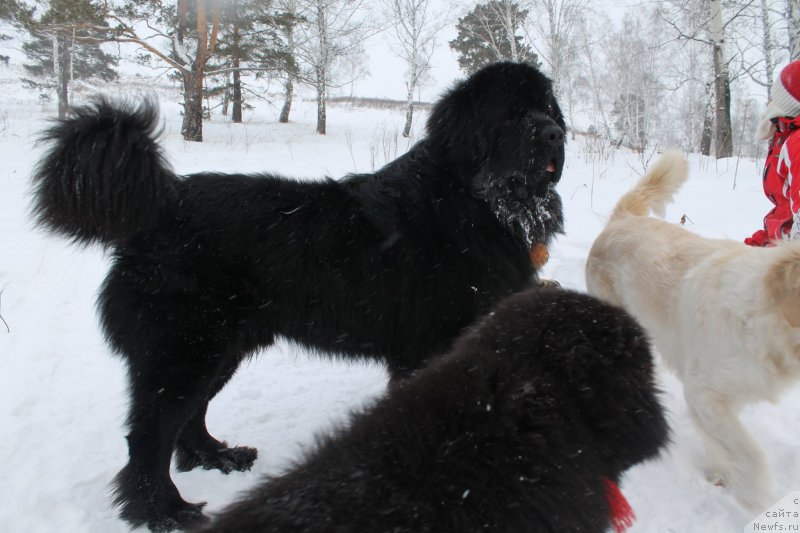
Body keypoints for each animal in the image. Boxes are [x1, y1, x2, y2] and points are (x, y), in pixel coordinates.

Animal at [31, 61, 564, 528]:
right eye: (511, 114)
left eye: (547, 110)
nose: (555, 134)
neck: (476, 199)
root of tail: (160, 207)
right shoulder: (429, 347)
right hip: (184, 349)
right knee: (149, 437)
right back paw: (164, 512)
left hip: (221, 348)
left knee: (190, 418)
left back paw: (217, 456)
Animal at [584, 149, 800, 512]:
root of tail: (622, 218)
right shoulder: (704, 391)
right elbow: (751, 452)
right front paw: (756, 496)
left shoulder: (725, 396)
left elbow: (721, 440)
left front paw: (720, 471)